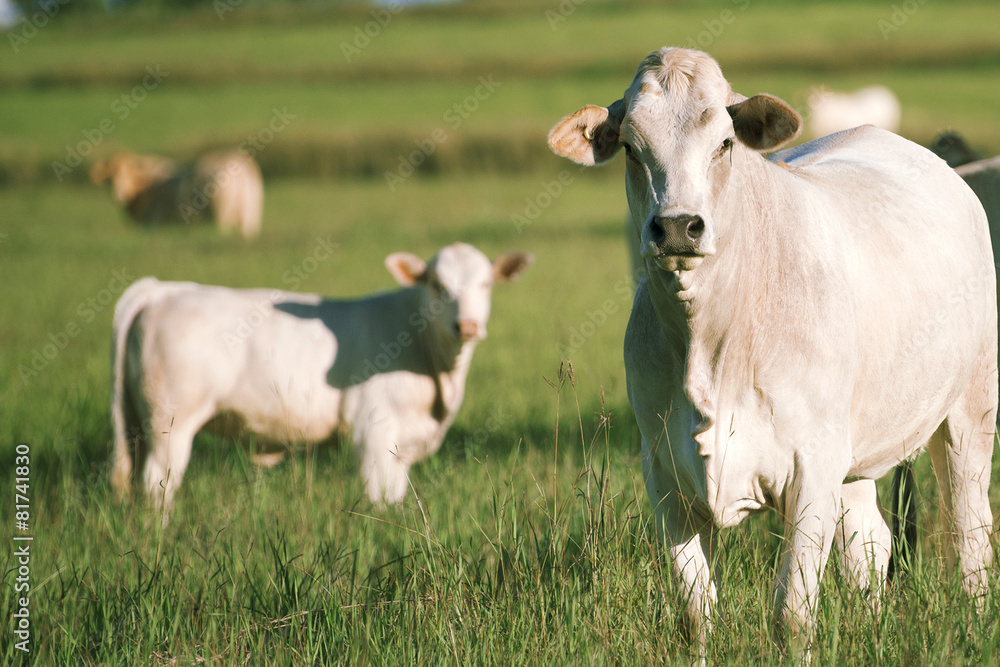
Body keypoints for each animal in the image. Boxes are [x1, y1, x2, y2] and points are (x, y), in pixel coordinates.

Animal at [92, 149, 264, 240]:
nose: (119, 194)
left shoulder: (152, 221)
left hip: (221, 218)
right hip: (249, 219)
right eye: (110, 178)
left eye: (126, 174)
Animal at [109, 243, 532, 516]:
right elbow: (380, 501)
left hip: (137, 424)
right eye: (437, 285)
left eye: (486, 284)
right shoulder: (373, 432)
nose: (467, 325)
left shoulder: (402, 448)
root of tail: (161, 288)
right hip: (170, 425)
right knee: (157, 485)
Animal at [552, 48, 996, 656]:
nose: (677, 227)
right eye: (630, 147)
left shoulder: (810, 473)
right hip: (853, 459)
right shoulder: (665, 478)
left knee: (970, 540)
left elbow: (792, 616)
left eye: (724, 142)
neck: (710, 350)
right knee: (871, 546)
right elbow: (695, 616)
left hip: (968, 414)